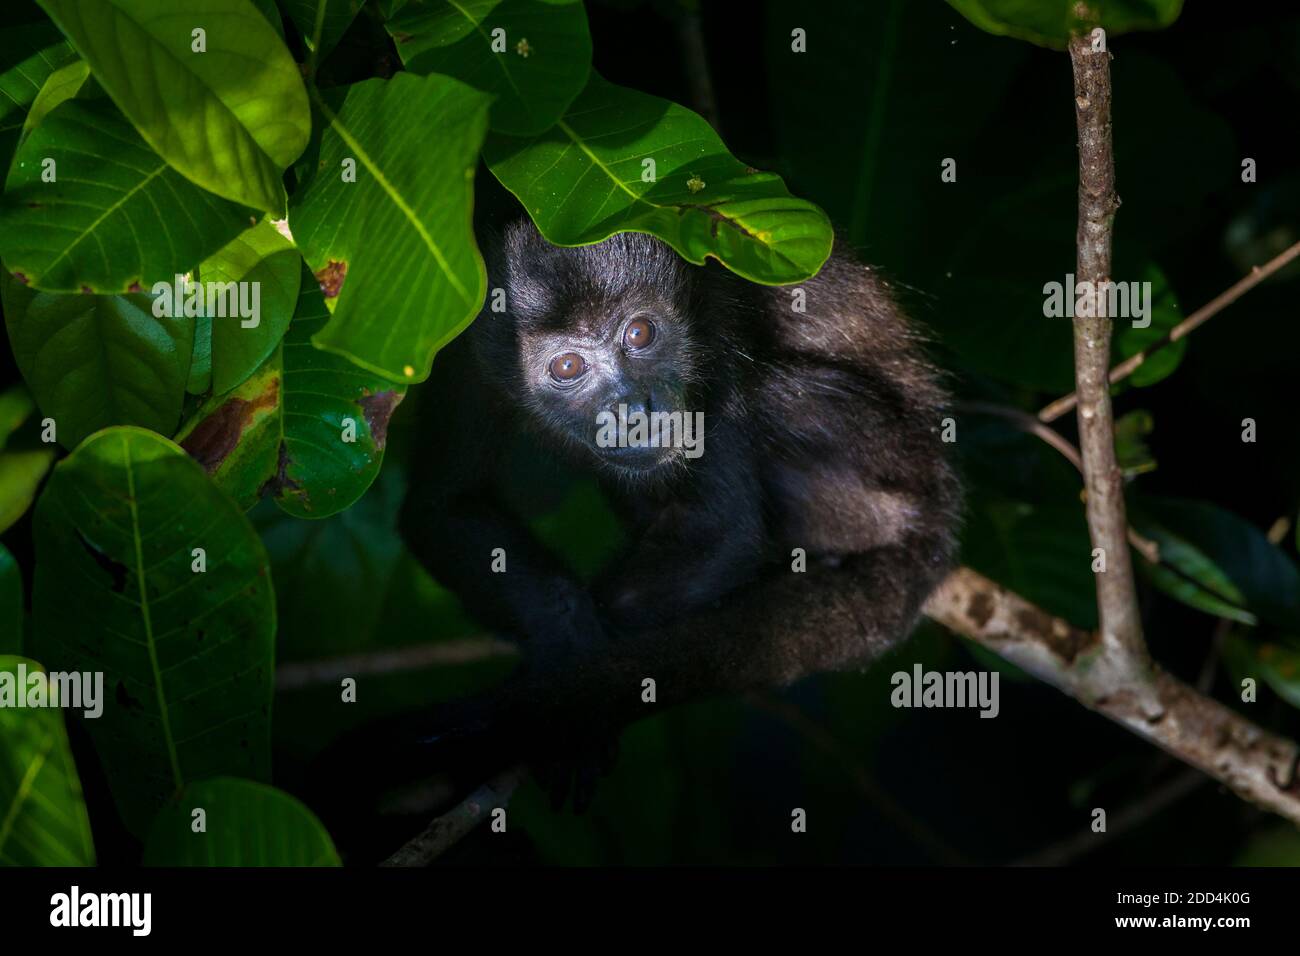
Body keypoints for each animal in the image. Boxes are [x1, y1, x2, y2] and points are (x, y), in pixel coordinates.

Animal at [384, 221, 956, 796]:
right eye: (567, 366)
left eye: (640, 334)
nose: (635, 410)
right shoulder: (460, 353)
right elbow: (446, 503)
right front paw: (561, 648)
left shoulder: (717, 324)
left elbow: (717, 528)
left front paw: (560, 704)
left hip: (883, 470)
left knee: (774, 392)